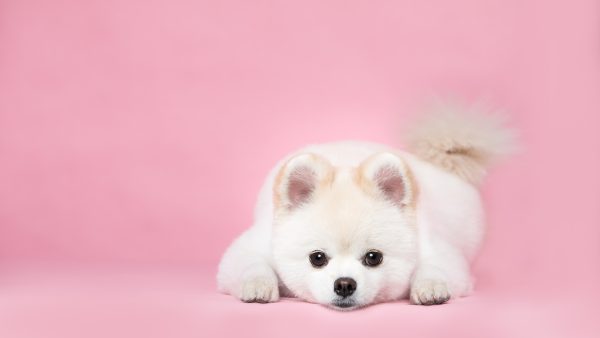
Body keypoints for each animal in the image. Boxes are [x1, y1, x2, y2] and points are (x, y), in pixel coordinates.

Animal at [218, 107, 512, 310]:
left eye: (373, 257)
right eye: (317, 258)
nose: (344, 284)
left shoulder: (438, 250)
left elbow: (437, 267)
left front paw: (430, 287)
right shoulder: (251, 246)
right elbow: (250, 263)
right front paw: (258, 285)